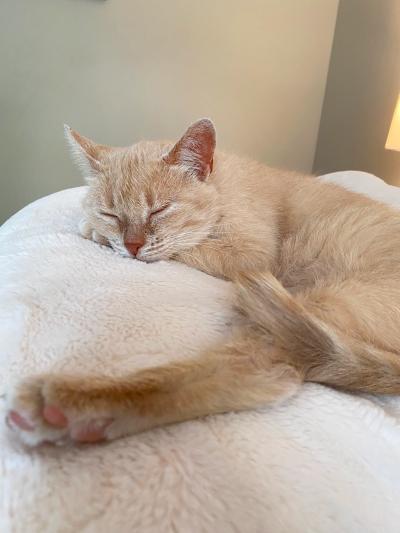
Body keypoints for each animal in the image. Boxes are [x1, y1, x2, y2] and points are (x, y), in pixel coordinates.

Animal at [6, 117, 400, 444]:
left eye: (159, 210)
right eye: (112, 213)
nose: (132, 245)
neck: (223, 186)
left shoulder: (251, 255)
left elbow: (185, 247)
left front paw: (93, 232)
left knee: (260, 370)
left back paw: (74, 406)